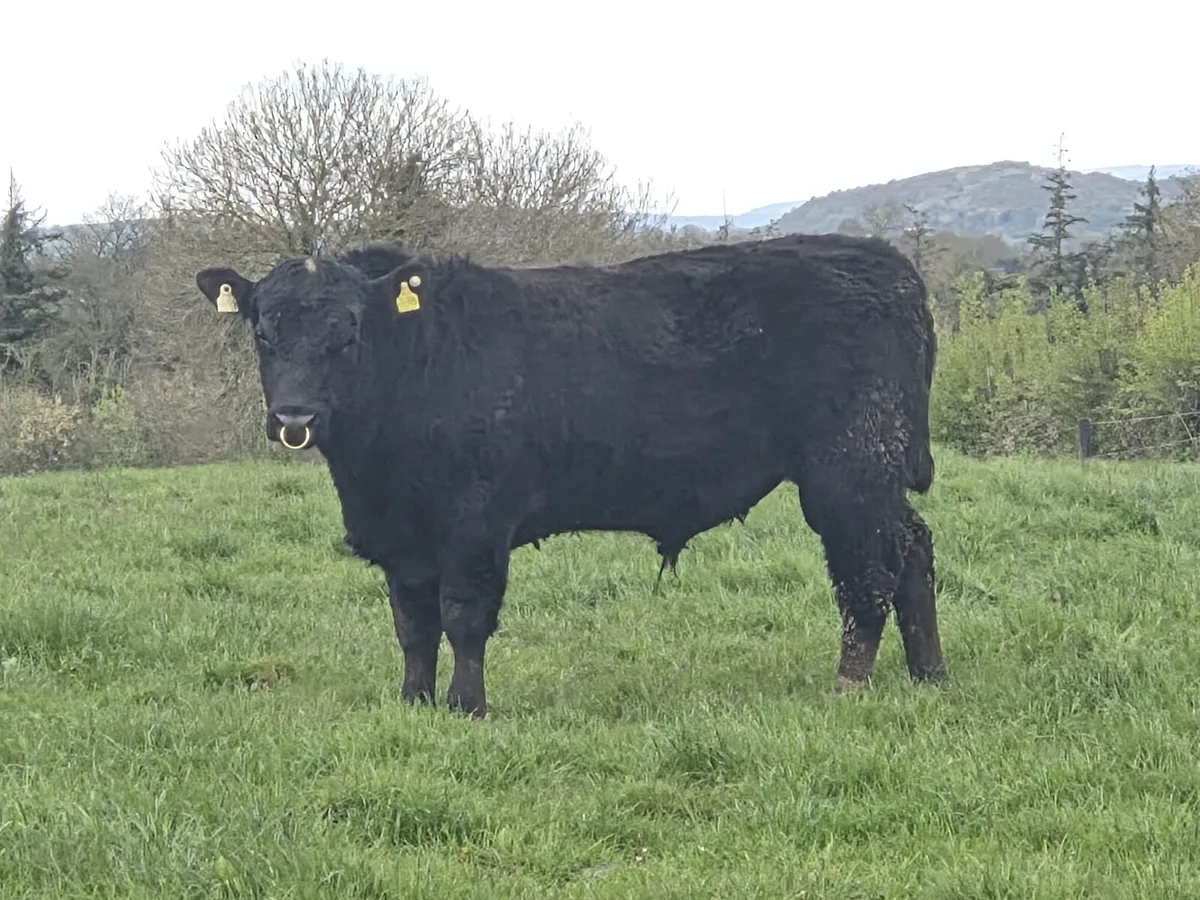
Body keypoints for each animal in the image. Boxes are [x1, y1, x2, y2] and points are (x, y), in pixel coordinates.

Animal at [193, 232, 945, 718]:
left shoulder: (474, 522)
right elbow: (412, 623)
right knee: (914, 550)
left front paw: (466, 707)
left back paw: (851, 684)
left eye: (347, 331)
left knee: (868, 570)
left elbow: (462, 615)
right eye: (263, 331)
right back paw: (929, 677)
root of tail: (886, 263)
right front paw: (413, 702)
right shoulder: (402, 538)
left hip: (850, 472)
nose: (294, 415)